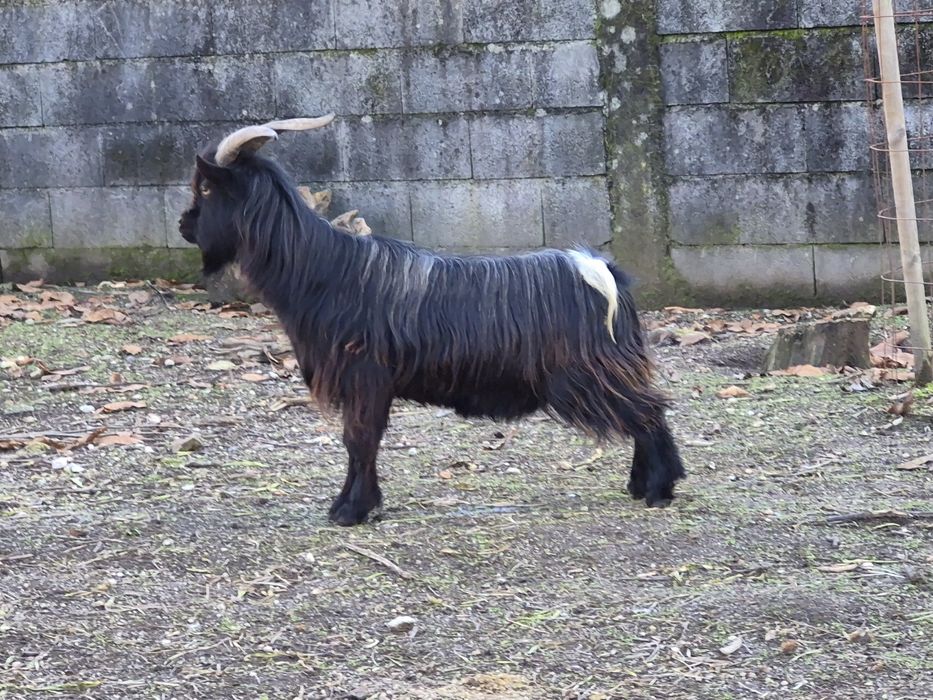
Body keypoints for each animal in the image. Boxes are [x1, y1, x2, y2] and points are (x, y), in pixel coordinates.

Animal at [178, 115, 686, 526]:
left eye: (205, 187)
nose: (184, 225)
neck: (324, 270)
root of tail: (601, 270)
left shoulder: (365, 378)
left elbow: (359, 441)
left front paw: (351, 510)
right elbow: (360, 442)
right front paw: (354, 504)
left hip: (586, 375)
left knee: (649, 411)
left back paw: (660, 488)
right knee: (646, 410)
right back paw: (641, 485)